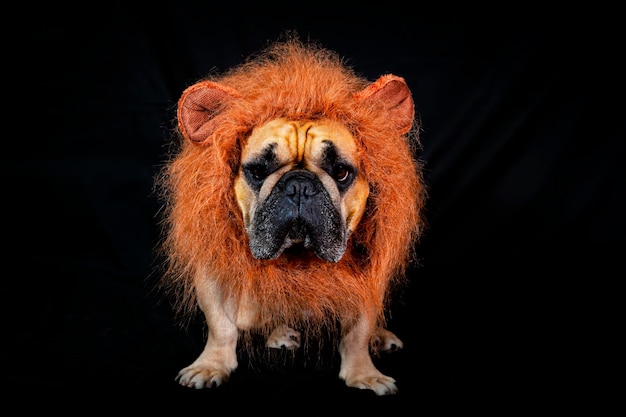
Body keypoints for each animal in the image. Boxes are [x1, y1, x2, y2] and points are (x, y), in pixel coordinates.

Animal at [157, 35, 424, 394]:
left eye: (341, 172)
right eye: (258, 170)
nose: (299, 185)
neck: (297, 258)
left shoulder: (368, 278)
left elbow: (357, 333)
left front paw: (363, 373)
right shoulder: (212, 273)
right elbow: (221, 327)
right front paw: (211, 364)